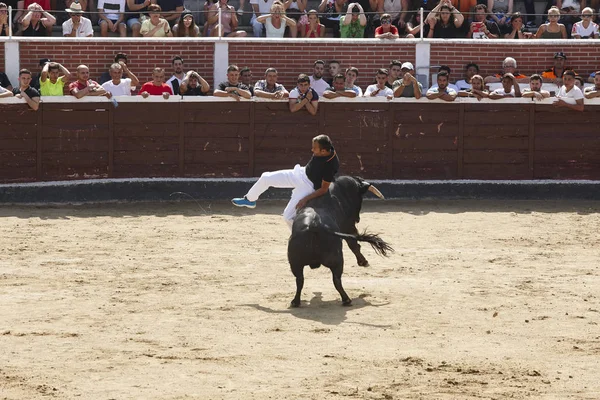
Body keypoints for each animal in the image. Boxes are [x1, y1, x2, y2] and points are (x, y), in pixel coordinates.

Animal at [288, 177, 394, 308]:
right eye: (359, 198)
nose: (358, 219)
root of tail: (314, 225)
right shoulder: (348, 225)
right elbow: (353, 243)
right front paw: (363, 262)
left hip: (295, 262)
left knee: (300, 279)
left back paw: (295, 302)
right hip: (337, 258)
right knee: (336, 279)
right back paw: (346, 300)